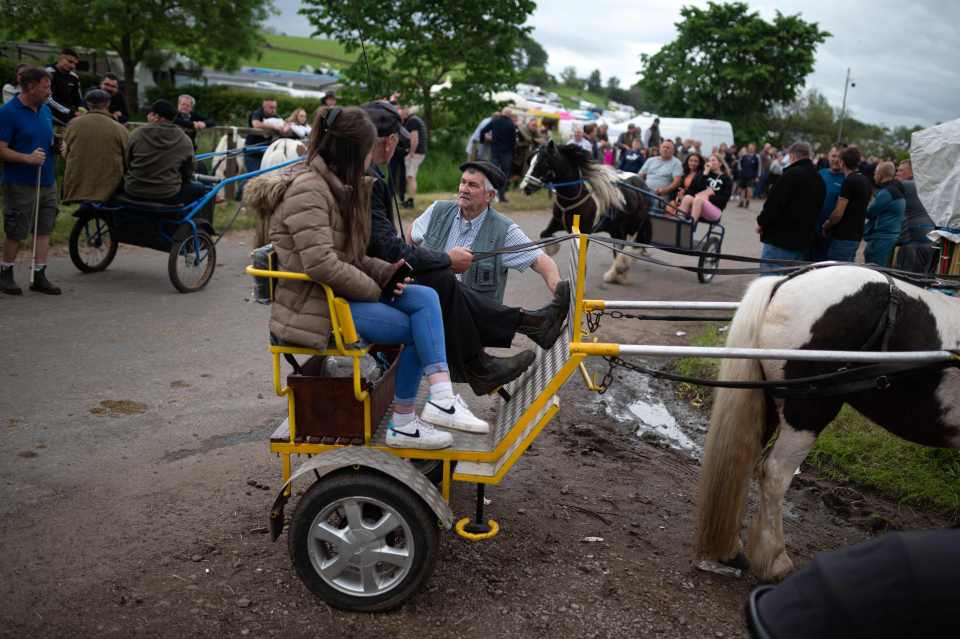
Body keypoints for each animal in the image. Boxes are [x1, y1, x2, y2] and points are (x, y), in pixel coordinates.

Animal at [516, 144, 652, 286]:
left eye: (542, 163)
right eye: (530, 161)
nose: (524, 187)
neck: (574, 196)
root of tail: (642, 184)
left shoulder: (584, 231)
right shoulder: (558, 222)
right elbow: (544, 233)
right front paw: (552, 248)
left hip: (632, 227)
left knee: (627, 249)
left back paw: (620, 268)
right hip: (616, 230)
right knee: (619, 248)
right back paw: (616, 274)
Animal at [696, 264, 960, 580]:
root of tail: (785, 282)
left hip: (768, 401)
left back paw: (732, 549)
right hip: (808, 412)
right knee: (774, 474)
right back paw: (774, 559)